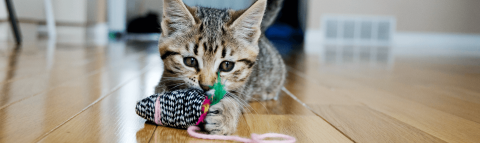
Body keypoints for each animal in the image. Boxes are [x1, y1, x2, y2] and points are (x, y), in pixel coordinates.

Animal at [156, 0, 284, 135]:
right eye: (190, 61)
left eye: (226, 65)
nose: (206, 86)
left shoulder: (241, 87)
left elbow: (234, 98)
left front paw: (225, 115)